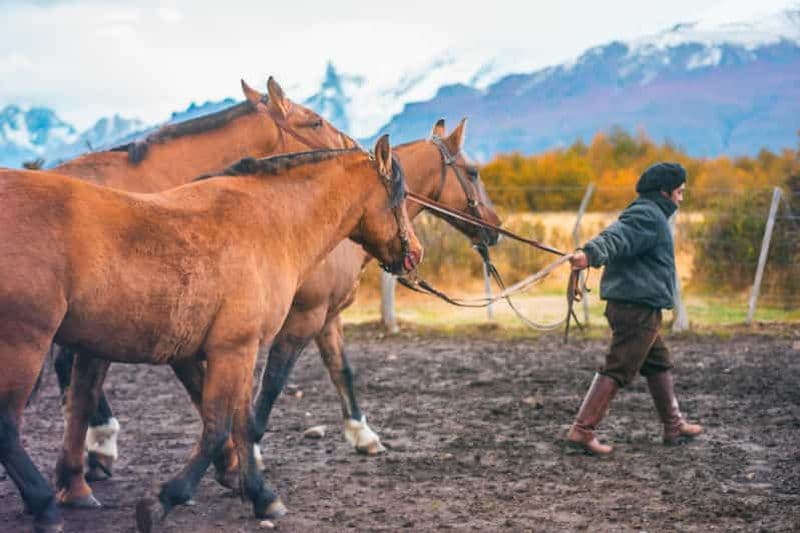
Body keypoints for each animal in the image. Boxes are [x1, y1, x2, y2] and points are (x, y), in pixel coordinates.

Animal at [0, 136, 422, 532]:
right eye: (400, 196)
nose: (415, 254)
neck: (270, 222)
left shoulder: (241, 351)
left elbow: (243, 424)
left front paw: (262, 496)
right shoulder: (233, 350)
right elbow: (219, 428)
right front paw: (164, 500)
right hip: (24, 346)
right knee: (9, 428)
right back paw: (45, 505)